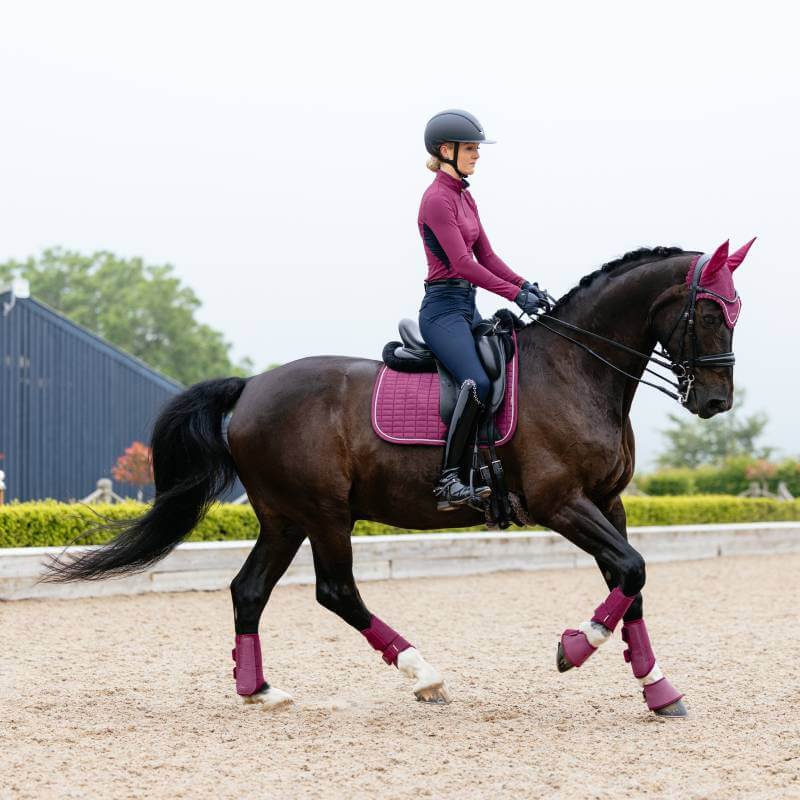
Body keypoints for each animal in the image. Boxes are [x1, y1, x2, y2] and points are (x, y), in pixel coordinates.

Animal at [45, 238, 755, 718]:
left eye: (736, 310)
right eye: (710, 312)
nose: (716, 400)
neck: (576, 370)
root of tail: (250, 387)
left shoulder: (609, 502)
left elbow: (630, 583)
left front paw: (658, 688)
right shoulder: (560, 503)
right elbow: (631, 571)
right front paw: (574, 648)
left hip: (284, 518)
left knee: (249, 590)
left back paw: (261, 690)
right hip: (325, 513)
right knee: (336, 591)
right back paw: (424, 674)